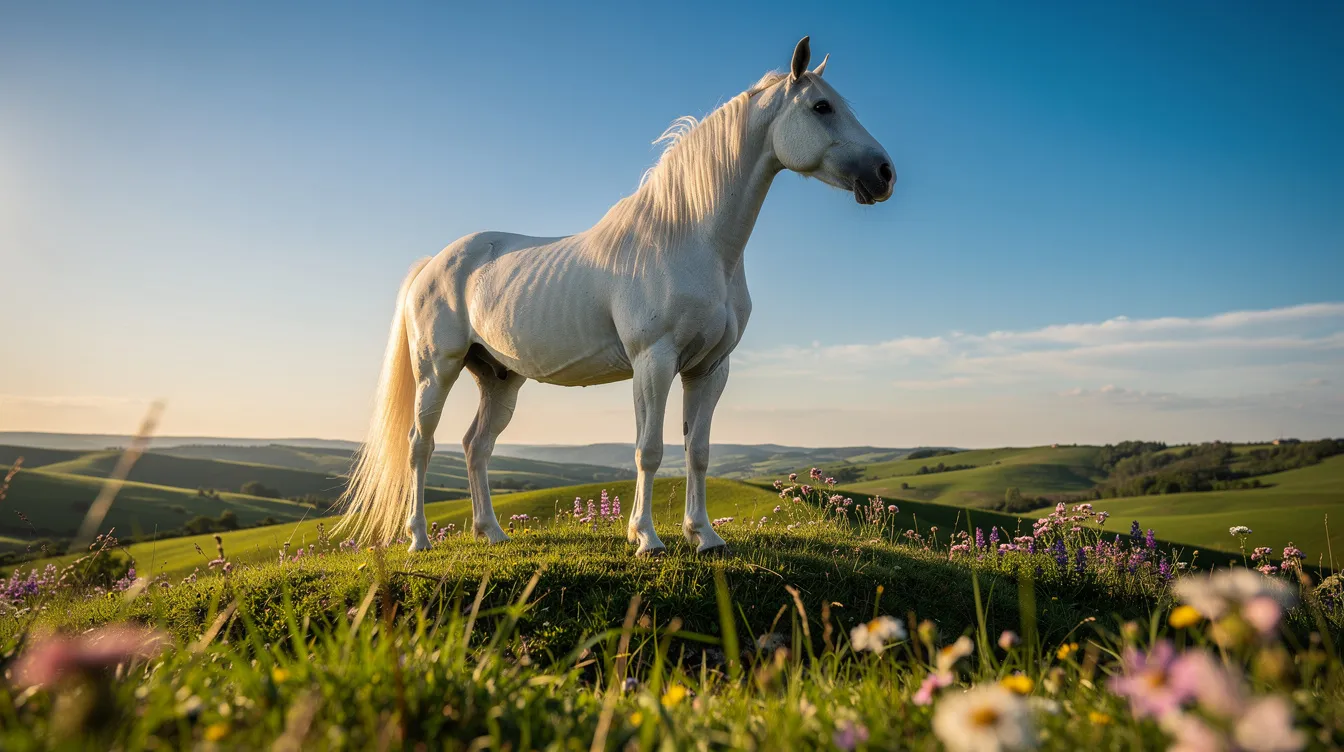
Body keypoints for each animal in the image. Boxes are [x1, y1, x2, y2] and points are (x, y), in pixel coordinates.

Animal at [339, 36, 894, 556]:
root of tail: (434, 264)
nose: (884, 173)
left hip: (498, 378)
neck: (690, 238)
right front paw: (646, 537)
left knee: (476, 447)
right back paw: (418, 539)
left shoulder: (710, 369)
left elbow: (698, 452)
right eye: (821, 107)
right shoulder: (654, 361)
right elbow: (649, 450)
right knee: (420, 445)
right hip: (438, 370)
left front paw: (704, 536)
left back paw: (491, 532)